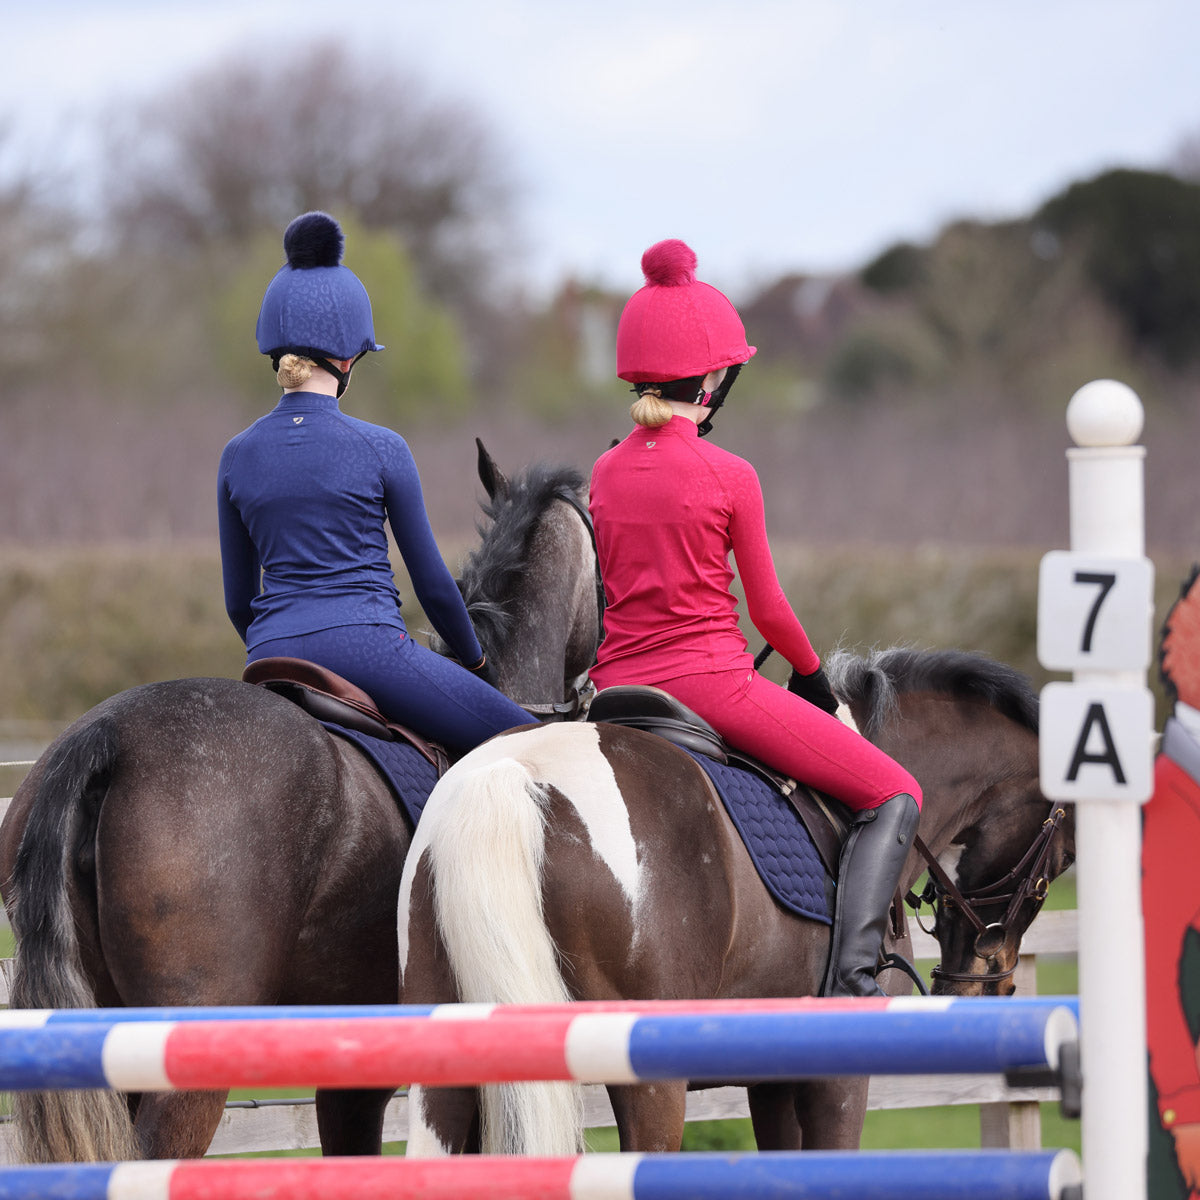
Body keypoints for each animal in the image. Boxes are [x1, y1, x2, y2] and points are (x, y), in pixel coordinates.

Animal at [398, 648, 1075, 1152]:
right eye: (1062, 858)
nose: (982, 989)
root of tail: (514, 772)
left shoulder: (771, 1077)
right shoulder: (839, 1076)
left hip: (441, 1081)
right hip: (650, 1084)